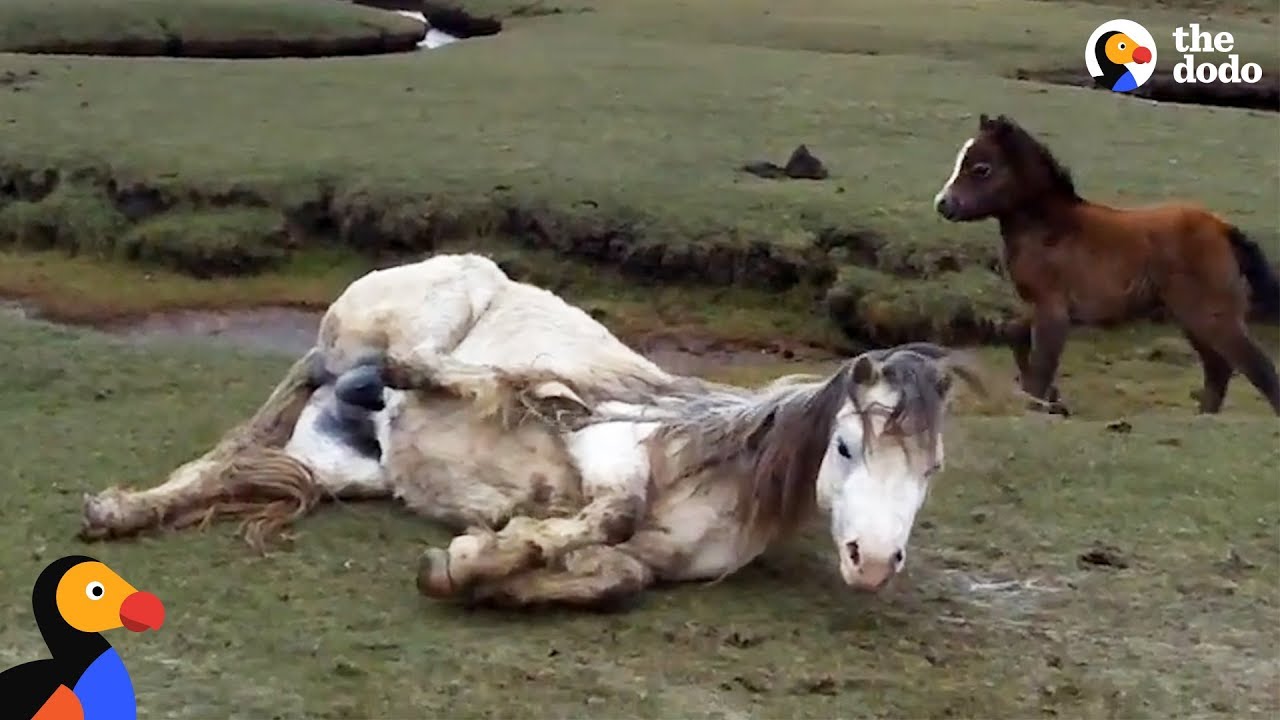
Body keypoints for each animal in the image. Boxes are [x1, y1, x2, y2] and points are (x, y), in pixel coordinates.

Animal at [80, 252, 983, 604]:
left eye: (932, 470)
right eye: (846, 446)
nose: (873, 563)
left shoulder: (645, 565)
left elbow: (610, 578)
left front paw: (482, 567)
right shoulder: (607, 451)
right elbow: (609, 502)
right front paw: (478, 554)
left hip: (346, 463)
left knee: (237, 461)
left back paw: (122, 511)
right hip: (384, 329)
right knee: (385, 366)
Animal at [931, 112, 1280, 415]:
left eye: (981, 168)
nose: (943, 205)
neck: (1049, 229)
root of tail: (1222, 228)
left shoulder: (1052, 310)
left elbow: (1042, 366)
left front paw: (1040, 406)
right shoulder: (1036, 306)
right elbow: (1016, 337)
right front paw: (1053, 401)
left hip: (1212, 315)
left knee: (1256, 366)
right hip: (1193, 319)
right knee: (1218, 368)